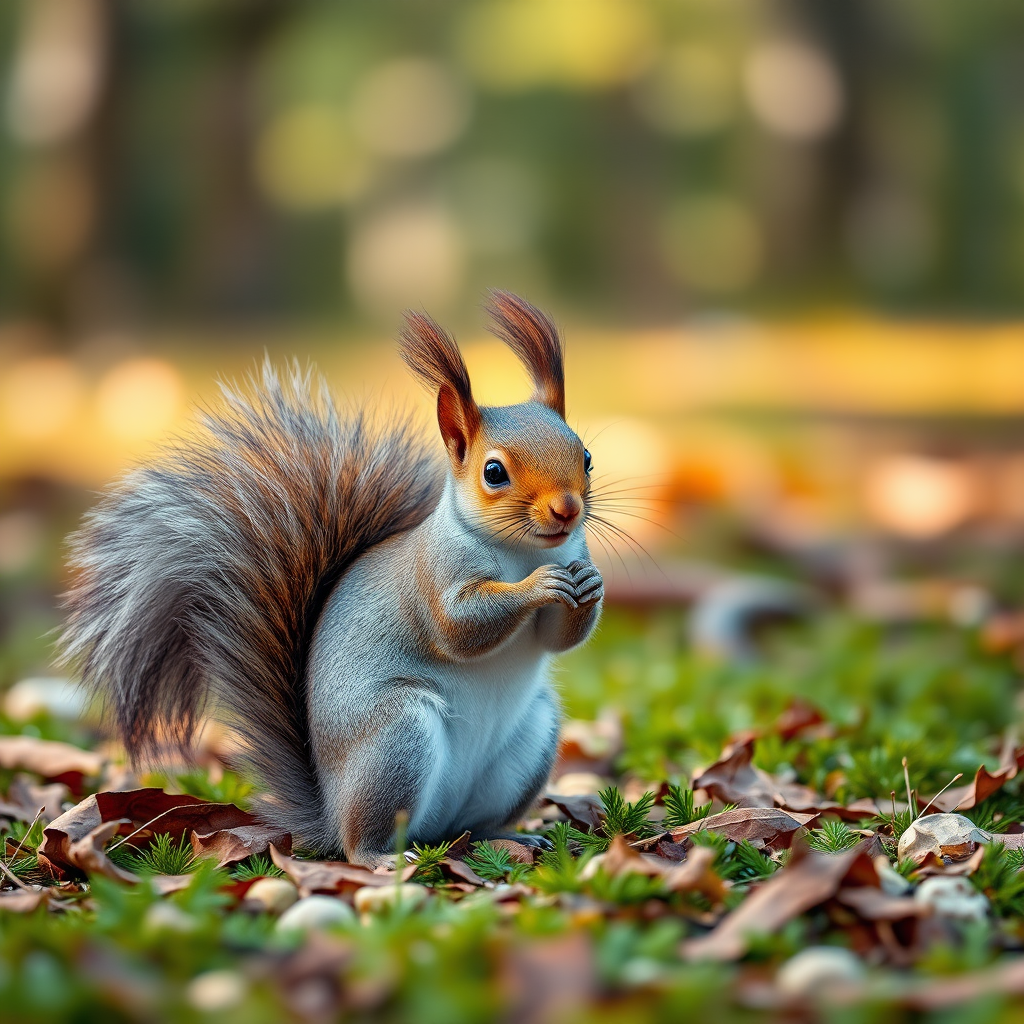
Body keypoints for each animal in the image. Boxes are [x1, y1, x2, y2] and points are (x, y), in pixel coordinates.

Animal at [60, 291, 603, 867]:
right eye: (493, 472)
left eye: (587, 457)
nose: (567, 510)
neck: (523, 551)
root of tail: (329, 811)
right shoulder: (433, 575)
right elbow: (458, 627)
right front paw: (538, 587)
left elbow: (557, 636)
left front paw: (590, 585)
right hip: (396, 738)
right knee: (360, 842)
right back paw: (380, 856)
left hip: (530, 738)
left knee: (470, 827)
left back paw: (510, 837)